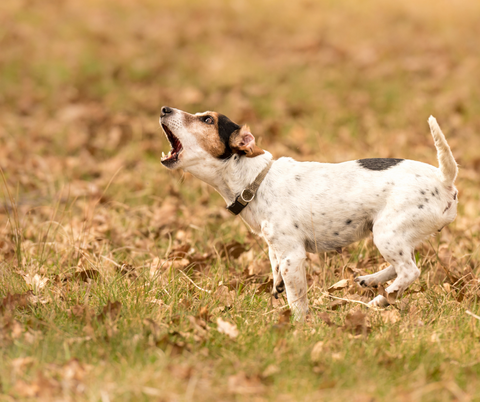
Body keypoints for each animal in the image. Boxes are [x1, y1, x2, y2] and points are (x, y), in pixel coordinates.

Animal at [158, 107, 458, 320]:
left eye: (207, 120)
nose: (164, 109)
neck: (255, 179)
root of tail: (444, 179)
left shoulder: (293, 254)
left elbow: (296, 297)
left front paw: (299, 323)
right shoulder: (276, 248)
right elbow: (276, 267)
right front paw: (277, 285)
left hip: (387, 233)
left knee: (410, 271)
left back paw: (385, 297)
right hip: (397, 236)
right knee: (402, 265)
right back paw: (372, 281)